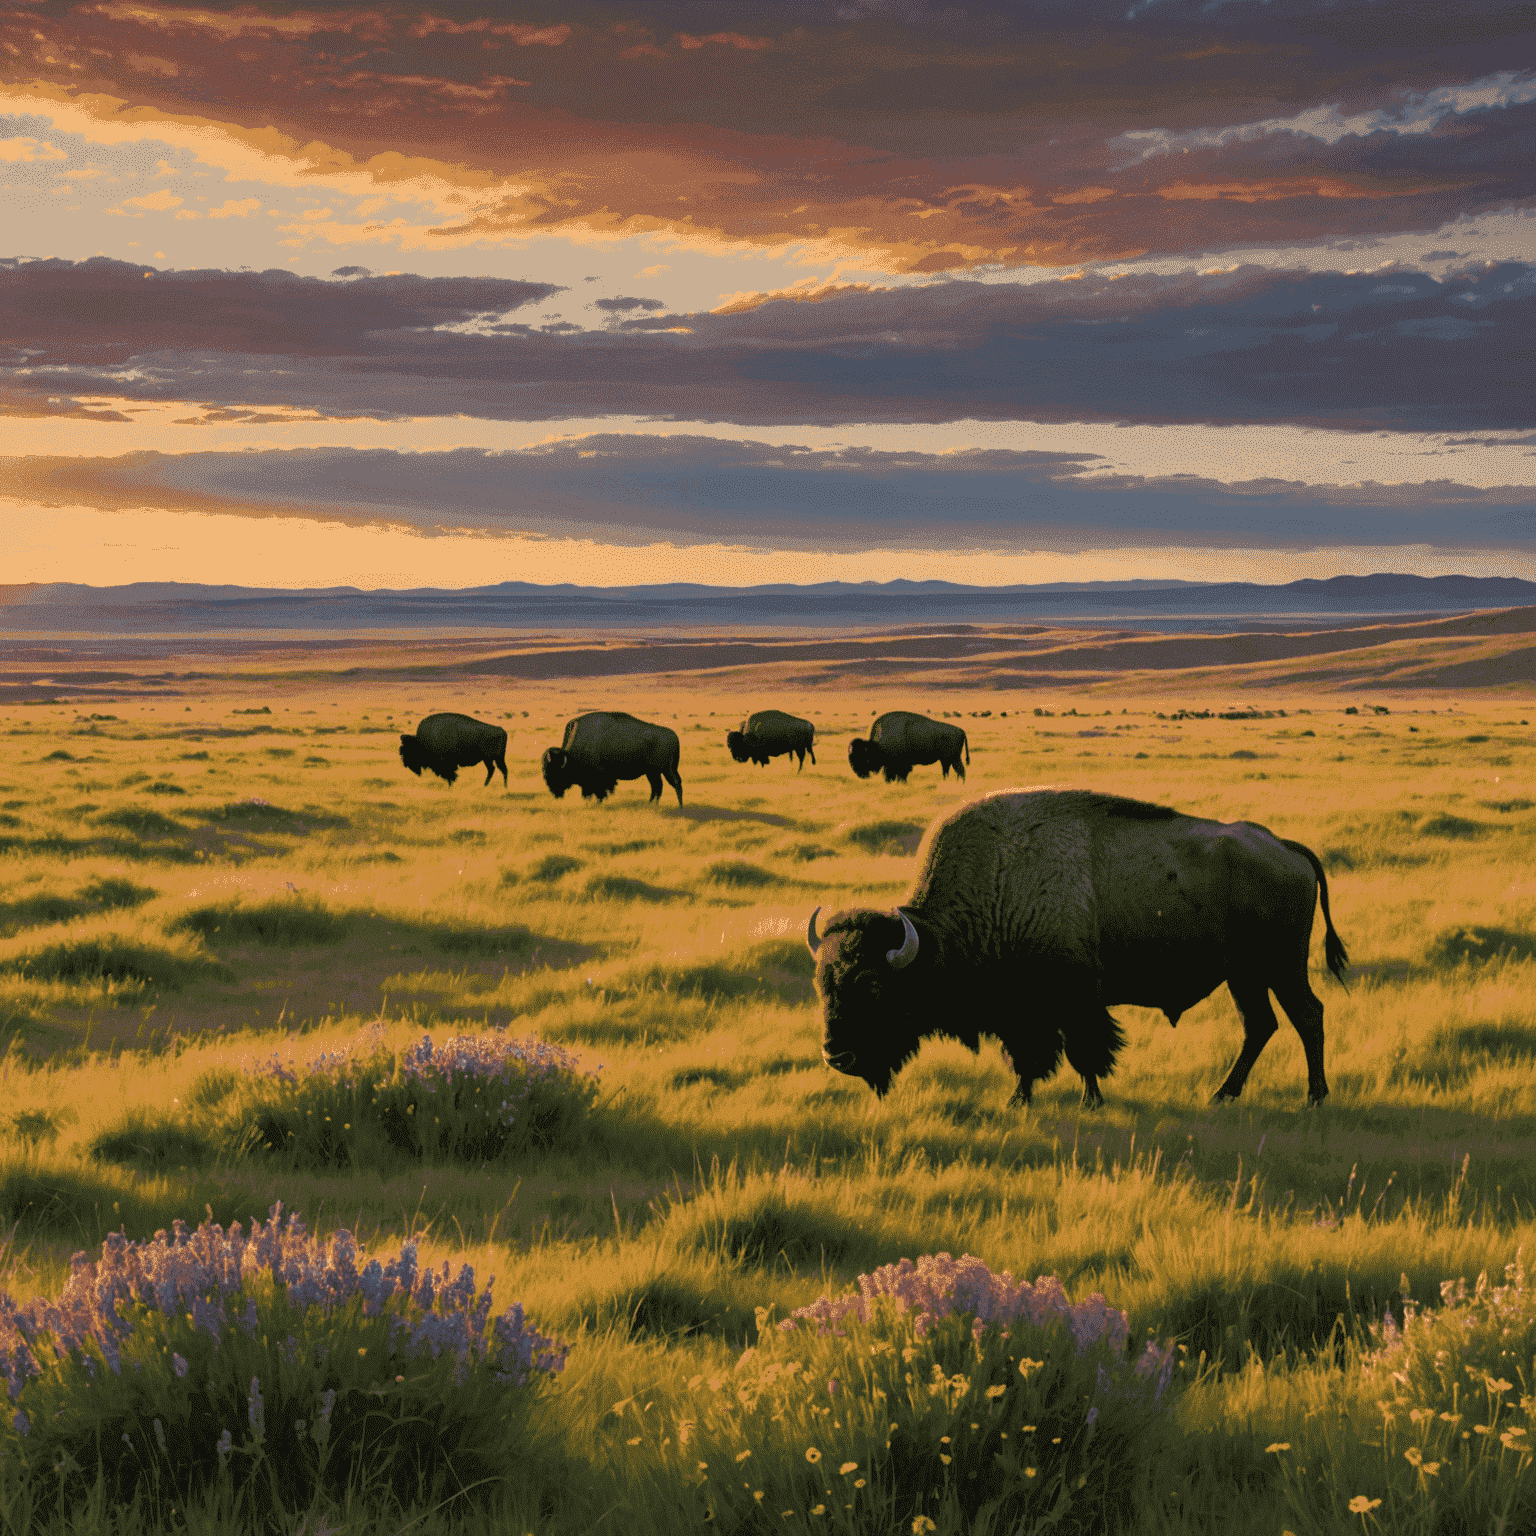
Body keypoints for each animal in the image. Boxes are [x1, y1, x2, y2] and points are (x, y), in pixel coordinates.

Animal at [540, 706, 685, 804]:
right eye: (544, 769)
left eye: (556, 771)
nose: (554, 790)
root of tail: (673, 735)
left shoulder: (599, 778)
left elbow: (600, 792)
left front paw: (599, 802)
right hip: (653, 772)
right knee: (657, 787)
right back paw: (651, 804)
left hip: (666, 769)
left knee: (674, 784)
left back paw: (679, 807)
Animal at [804, 792, 1345, 1105]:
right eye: (821, 985)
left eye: (873, 985)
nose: (836, 1055)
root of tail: (1286, 848)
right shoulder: (1022, 1012)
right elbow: (1028, 1058)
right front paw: (1019, 1100)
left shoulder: (1074, 1000)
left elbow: (1085, 1052)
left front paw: (1090, 1101)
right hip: (1244, 975)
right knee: (1261, 1025)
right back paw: (1223, 1095)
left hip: (1281, 967)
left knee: (1307, 1016)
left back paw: (1315, 1096)